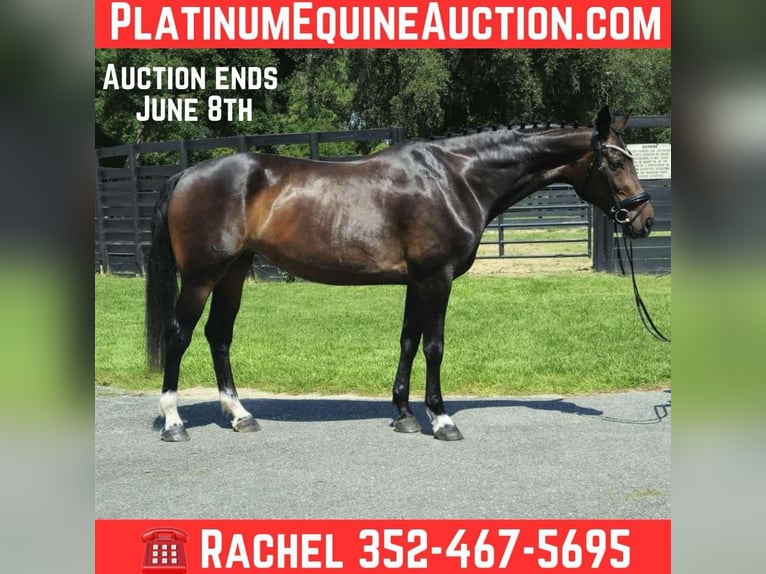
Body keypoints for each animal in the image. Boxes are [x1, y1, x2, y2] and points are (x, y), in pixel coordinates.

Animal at [145, 106, 654, 442]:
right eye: (615, 161)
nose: (643, 220)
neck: (456, 178)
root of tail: (187, 174)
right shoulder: (436, 278)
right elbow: (434, 346)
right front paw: (442, 419)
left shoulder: (415, 281)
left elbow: (408, 340)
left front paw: (404, 414)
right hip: (202, 276)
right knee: (179, 334)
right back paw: (174, 422)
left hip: (233, 272)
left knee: (218, 335)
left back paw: (239, 414)